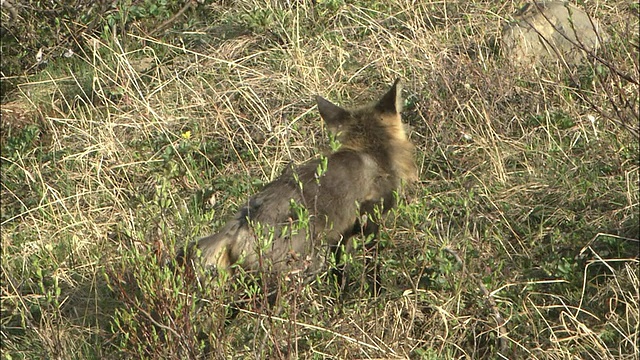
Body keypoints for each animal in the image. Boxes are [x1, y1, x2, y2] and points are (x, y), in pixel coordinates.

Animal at [179, 79, 420, 290]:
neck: (369, 151)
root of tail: (239, 224)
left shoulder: (340, 235)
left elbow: (339, 271)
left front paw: (340, 296)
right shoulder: (370, 221)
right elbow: (372, 267)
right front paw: (375, 292)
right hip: (293, 272)